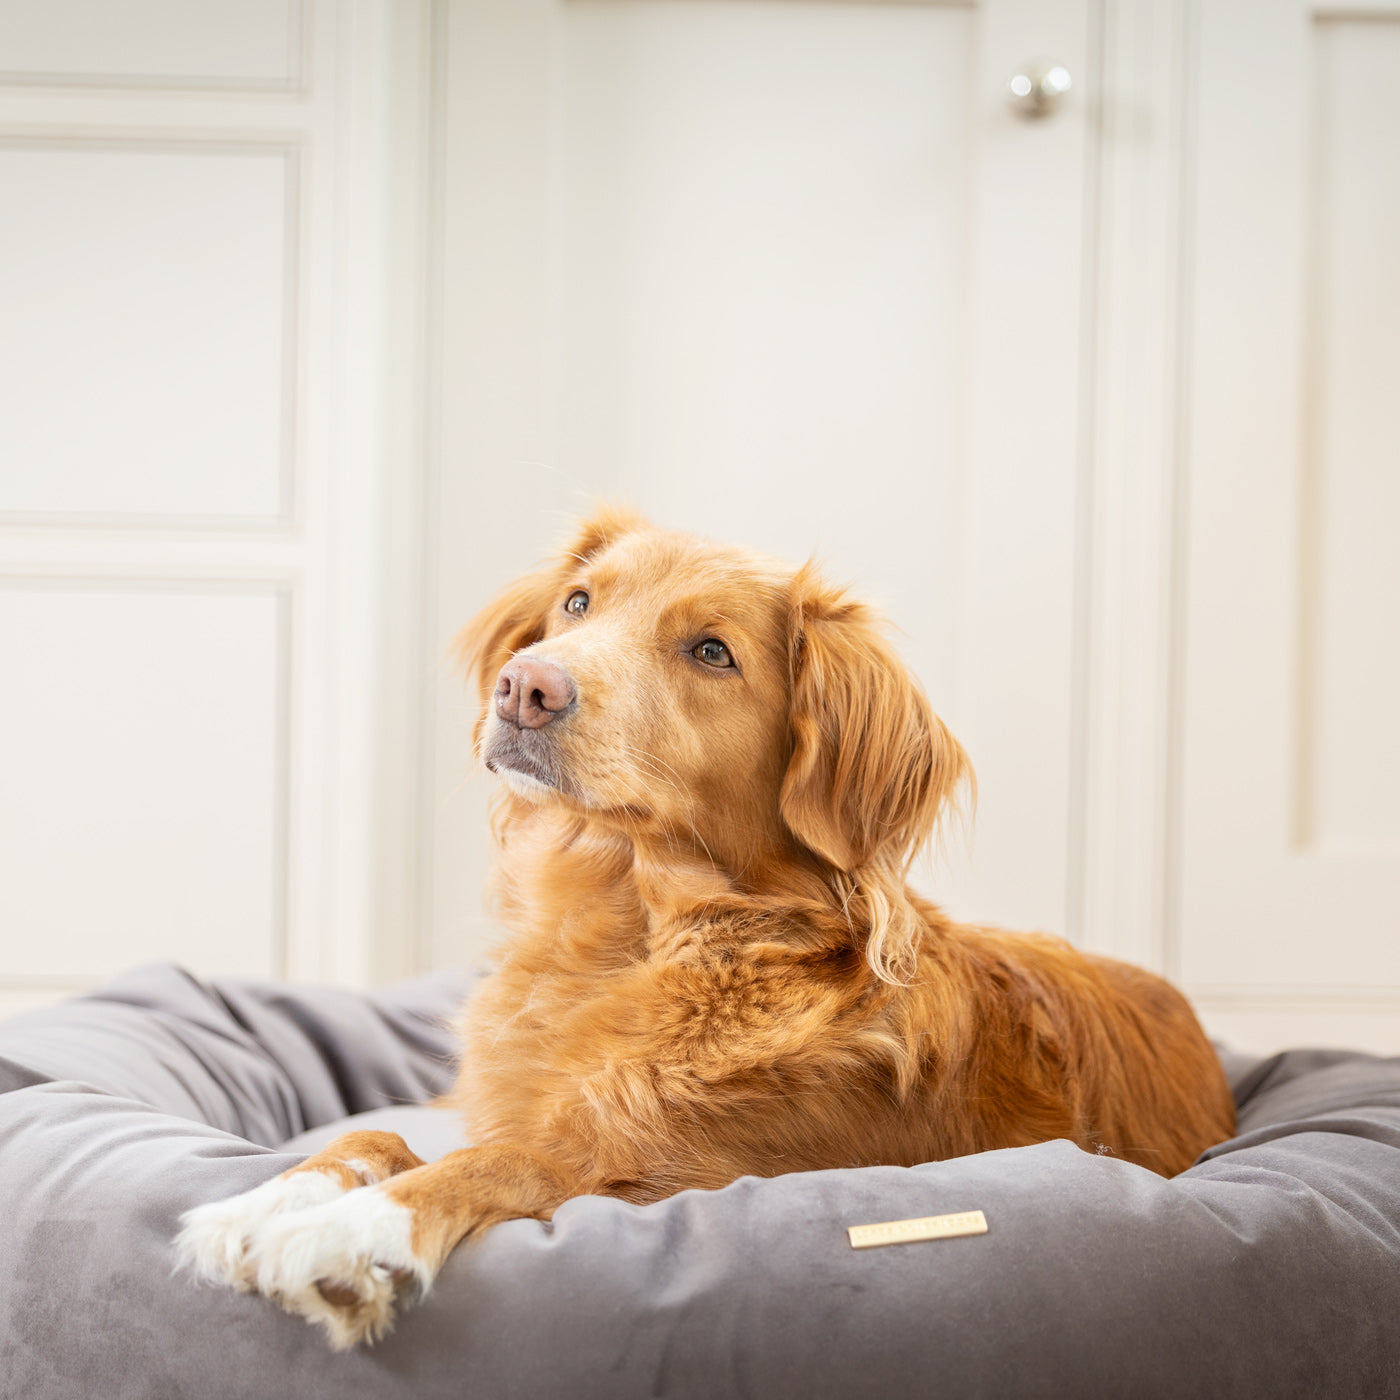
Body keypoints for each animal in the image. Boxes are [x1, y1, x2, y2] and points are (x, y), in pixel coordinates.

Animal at [175, 512, 1237, 1344]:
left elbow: (518, 1157)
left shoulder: (697, 1174)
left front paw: (354, 1233)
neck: (630, 930)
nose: (524, 686)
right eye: (578, 604)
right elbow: (389, 1134)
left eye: (712, 652)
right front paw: (274, 1195)